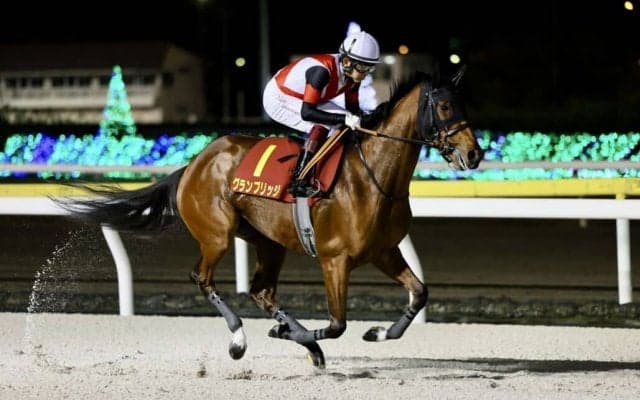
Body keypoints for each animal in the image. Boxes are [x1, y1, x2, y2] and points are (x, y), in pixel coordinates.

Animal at [56, 69, 483, 368]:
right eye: (445, 107)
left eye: (464, 106)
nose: (474, 154)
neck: (372, 176)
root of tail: (194, 163)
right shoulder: (335, 260)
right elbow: (337, 323)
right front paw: (298, 333)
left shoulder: (384, 251)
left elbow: (419, 293)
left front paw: (377, 333)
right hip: (217, 235)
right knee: (203, 279)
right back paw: (241, 340)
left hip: (269, 241)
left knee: (261, 290)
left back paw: (301, 339)